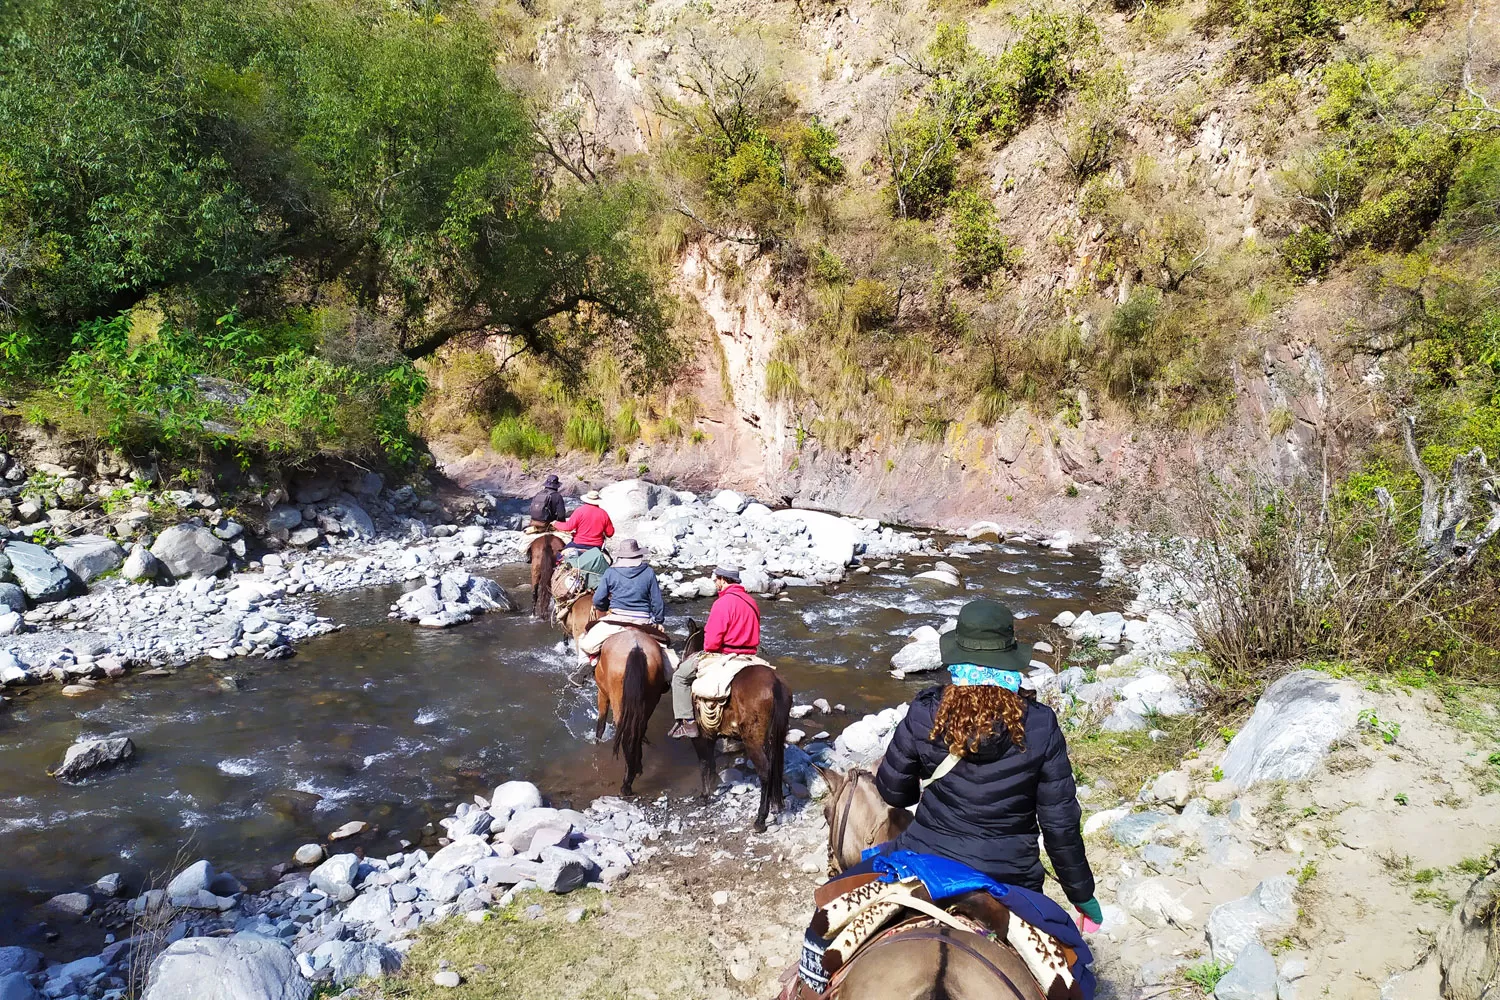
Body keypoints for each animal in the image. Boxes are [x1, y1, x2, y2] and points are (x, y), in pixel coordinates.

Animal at [594, 629, 672, 791]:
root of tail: (636, 649)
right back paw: (636, 769)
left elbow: (600, 725)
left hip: (618, 702)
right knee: (638, 731)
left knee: (626, 736)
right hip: (650, 701)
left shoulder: (602, 693)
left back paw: (626, 785)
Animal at [684, 620, 792, 833]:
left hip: (752, 740)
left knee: (765, 771)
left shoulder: (699, 736)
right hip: (776, 734)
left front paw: (705, 795)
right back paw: (777, 806)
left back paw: (760, 819)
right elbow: (711, 762)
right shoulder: (710, 735)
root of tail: (775, 683)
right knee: (776, 765)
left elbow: (704, 762)